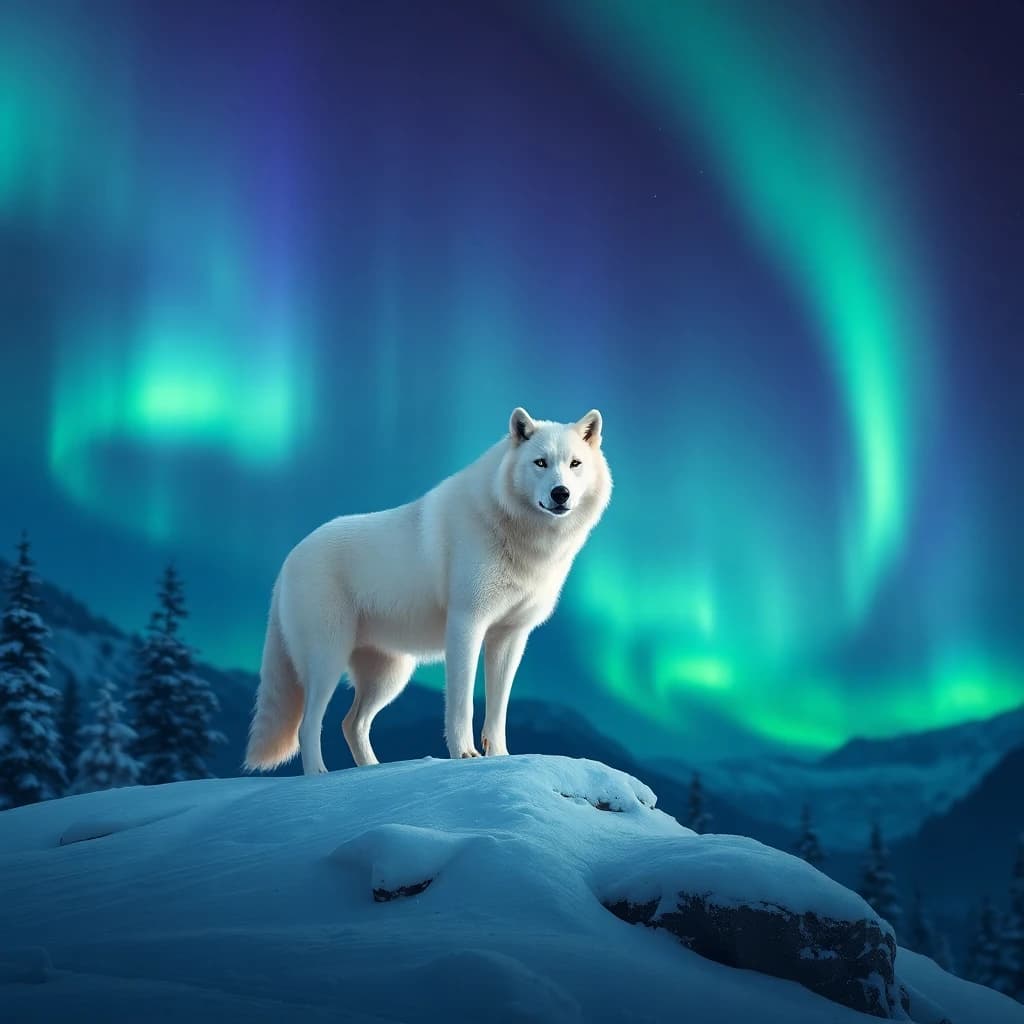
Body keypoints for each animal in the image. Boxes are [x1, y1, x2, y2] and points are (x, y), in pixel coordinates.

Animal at [244, 407, 612, 775]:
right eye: (540, 463)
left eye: (574, 464)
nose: (560, 493)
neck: (520, 536)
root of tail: (288, 561)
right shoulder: (467, 625)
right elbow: (462, 703)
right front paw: (465, 754)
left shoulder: (511, 636)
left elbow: (498, 712)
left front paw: (501, 757)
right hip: (328, 661)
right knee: (308, 726)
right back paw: (319, 775)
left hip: (390, 676)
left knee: (352, 723)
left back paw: (373, 770)